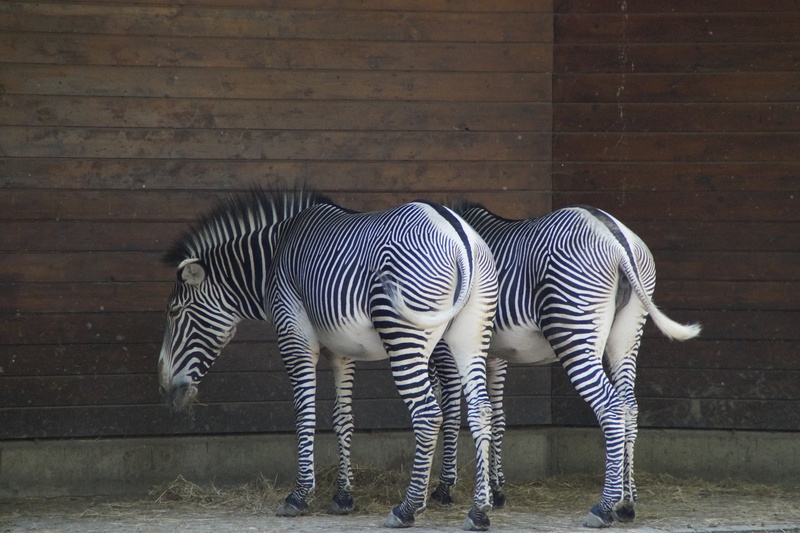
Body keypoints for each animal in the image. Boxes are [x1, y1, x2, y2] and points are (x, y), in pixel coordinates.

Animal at [157, 186, 499, 530]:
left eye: (174, 312)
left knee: (428, 414)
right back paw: (479, 511)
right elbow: (342, 417)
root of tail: (457, 235)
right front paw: (343, 497)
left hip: (403, 333)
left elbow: (304, 412)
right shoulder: (342, 351)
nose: (163, 387)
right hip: (471, 336)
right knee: (481, 410)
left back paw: (408, 509)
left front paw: (298, 496)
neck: (273, 259)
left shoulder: (294, 336)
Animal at [425, 203, 701, 528]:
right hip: (627, 334)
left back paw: (604, 507)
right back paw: (626, 503)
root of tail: (614, 236)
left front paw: (445, 489)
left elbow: (452, 415)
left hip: (575, 328)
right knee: (629, 408)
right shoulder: (495, 354)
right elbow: (497, 416)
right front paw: (496, 489)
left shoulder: (450, 347)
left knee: (611, 407)